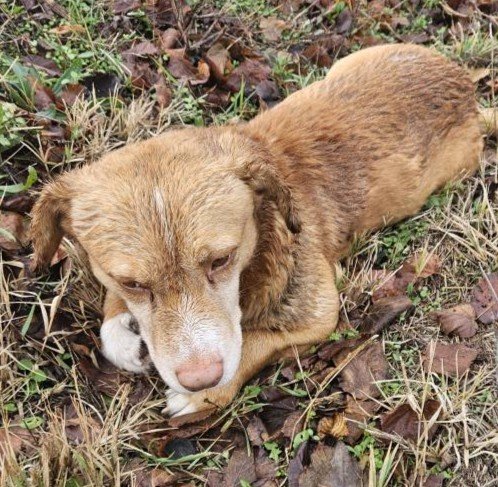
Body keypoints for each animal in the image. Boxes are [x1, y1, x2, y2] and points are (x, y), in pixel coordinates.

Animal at [30, 44, 483, 417]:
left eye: (221, 260)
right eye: (133, 282)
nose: (200, 378)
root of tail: (467, 89)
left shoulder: (321, 316)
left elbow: (253, 343)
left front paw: (207, 395)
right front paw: (121, 331)